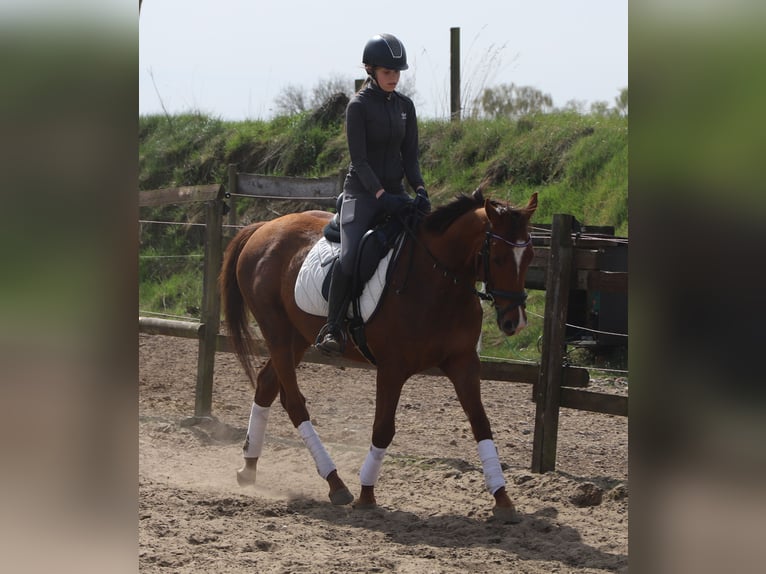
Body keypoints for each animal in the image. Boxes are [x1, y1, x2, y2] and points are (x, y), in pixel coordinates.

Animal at [219, 186, 538, 523]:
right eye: (499, 258)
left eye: (530, 256)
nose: (514, 322)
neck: (437, 282)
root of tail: (262, 228)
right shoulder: (391, 368)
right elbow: (383, 429)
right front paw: (366, 494)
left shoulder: (463, 363)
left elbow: (481, 424)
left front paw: (503, 499)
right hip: (277, 333)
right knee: (293, 402)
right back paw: (335, 482)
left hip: (297, 338)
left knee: (267, 384)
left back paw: (249, 467)